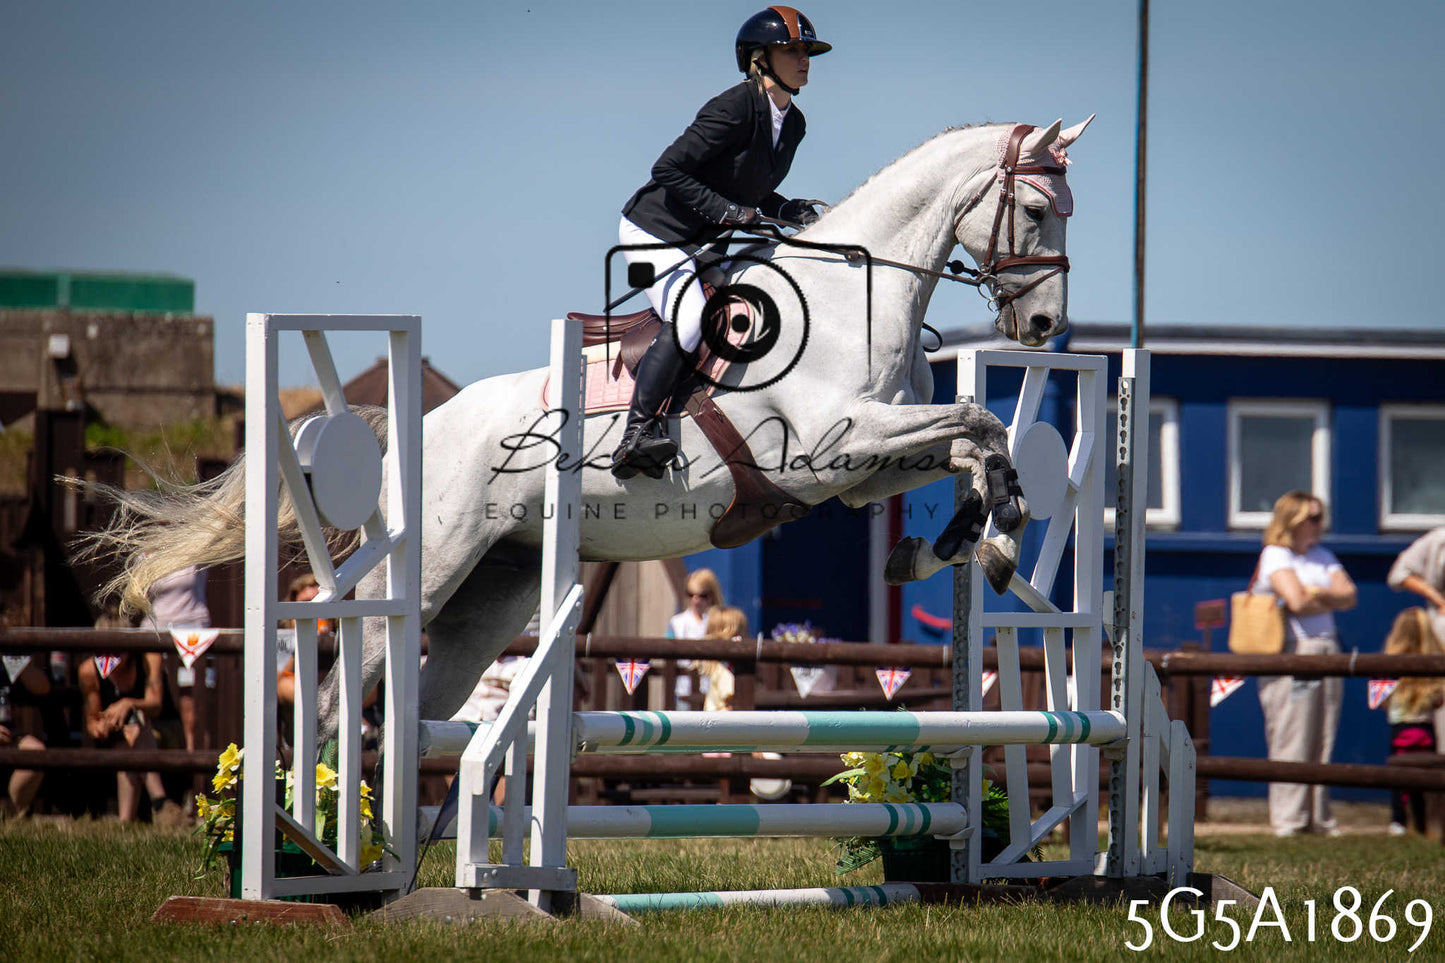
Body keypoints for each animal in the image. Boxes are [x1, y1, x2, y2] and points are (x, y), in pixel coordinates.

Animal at [86, 117, 1093, 744]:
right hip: (435, 561)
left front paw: (966, 543)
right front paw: (988, 540)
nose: (1044, 327)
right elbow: (976, 420)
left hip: (492, 592)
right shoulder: (826, 449)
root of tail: (422, 427)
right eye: (1036, 209)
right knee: (344, 693)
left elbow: (975, 437)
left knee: (430, 711)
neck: (856, 298)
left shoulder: (862, 465)